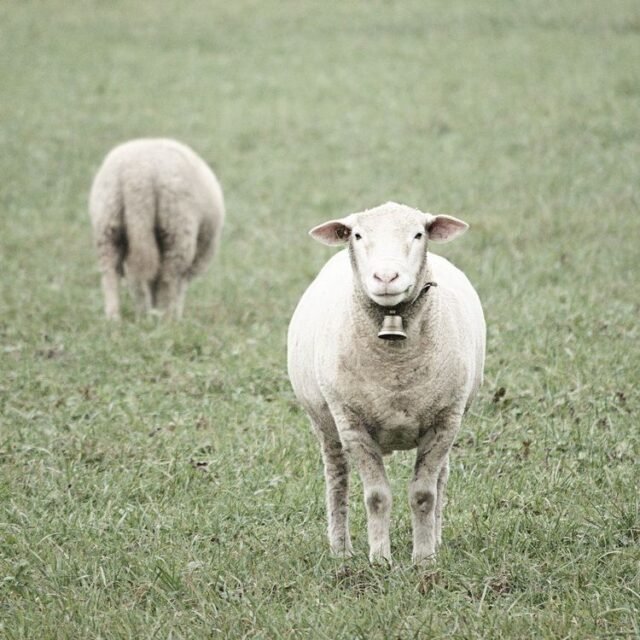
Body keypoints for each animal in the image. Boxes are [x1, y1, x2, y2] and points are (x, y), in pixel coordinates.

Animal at [89, 138, 225, 320]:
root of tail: (138, 175)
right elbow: (179, 287)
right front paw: (173, 315)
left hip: (108, 221)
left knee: (113, 274)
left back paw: (117, 318)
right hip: (176, 226)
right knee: (168, 278)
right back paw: (165, 319)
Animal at [287, 201, 485, 564]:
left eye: (419, 234)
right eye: (357, 235)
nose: (386, 277)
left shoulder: (445, 421)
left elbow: (424, 494)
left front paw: (424, 559)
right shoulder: (351, 423)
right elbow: (376, 496)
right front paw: (380, 558)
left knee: (441, 480)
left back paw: (436, 539)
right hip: (325, 423)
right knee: (337, 480)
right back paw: (341, 550)